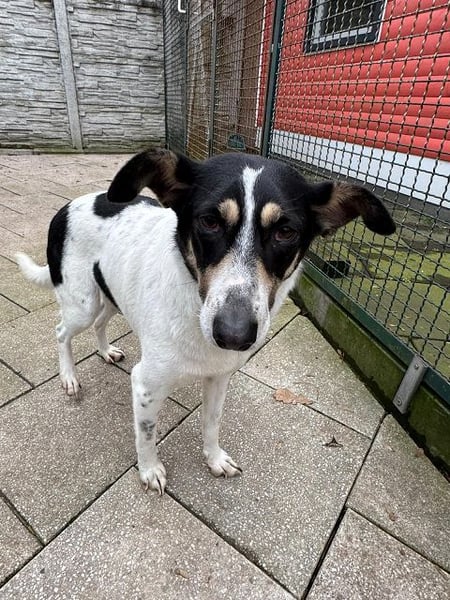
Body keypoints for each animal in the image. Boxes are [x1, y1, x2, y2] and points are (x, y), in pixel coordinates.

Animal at [17, 148, 395, 494]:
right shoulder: (147, 384)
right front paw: (149, 470)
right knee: (62, 331)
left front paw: (214, 459)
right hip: (80, 303)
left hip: (111, 296)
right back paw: (68, 377)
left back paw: (106, 351)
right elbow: (147, 434)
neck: (194, 304)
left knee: (99, 323)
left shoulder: (219, 376)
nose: (234, 334)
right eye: (209, 222)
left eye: (285, 232)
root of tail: (67, 206)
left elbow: (211, 423)